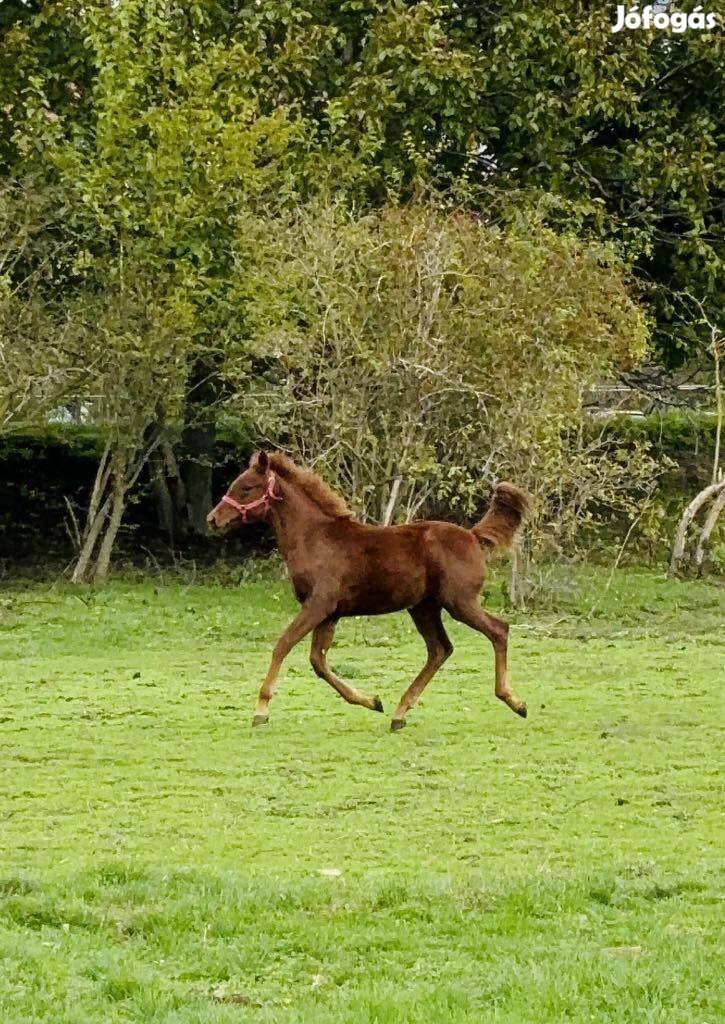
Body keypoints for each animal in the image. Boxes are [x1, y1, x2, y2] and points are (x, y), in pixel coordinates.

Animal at [206, 452, 528, 733]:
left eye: (246, 486)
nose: (212, 519)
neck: (315, 539)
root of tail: (473, 536)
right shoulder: (330, 614)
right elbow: (318, 662)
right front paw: (372, 701)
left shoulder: (318, 605)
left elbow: (283, 645)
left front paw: (260, 710)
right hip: (424, 608)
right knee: (440, 649)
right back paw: (399, 713)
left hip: (459, 602)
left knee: (498, 630)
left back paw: (515, 701)